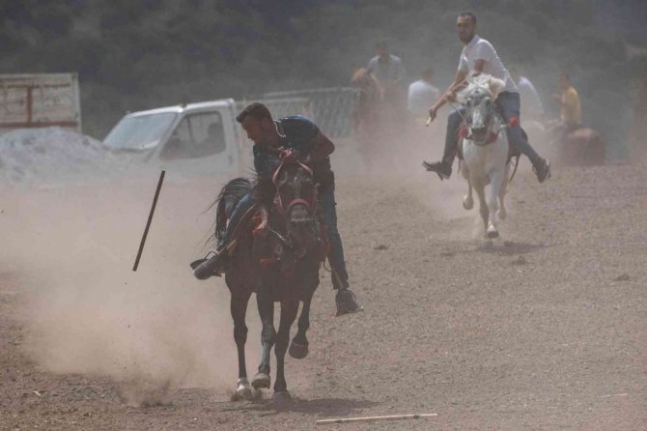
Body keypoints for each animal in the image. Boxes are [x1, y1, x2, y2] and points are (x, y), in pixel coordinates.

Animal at [206, 159, 324, 402]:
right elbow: (268, 333)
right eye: (283, 187)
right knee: (240, 333)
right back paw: (242, 384)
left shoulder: (291, 297)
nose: (300, 223)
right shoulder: (264, 293)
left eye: (309, 185)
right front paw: (261, 374)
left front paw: (281, 387)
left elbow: (282, 339)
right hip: (238, 290)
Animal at [458, 73, 512, 236]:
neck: (483, 148)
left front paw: (492, 228)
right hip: (465, 168)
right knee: (468, 182)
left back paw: (502, 213)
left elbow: (493, 201)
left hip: (506, 171)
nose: (478, 129)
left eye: (488, 102)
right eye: (468, 103)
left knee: (501, 192)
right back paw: (468, 201)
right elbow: (483, 205)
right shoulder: (476, 176)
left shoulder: (497, 171)